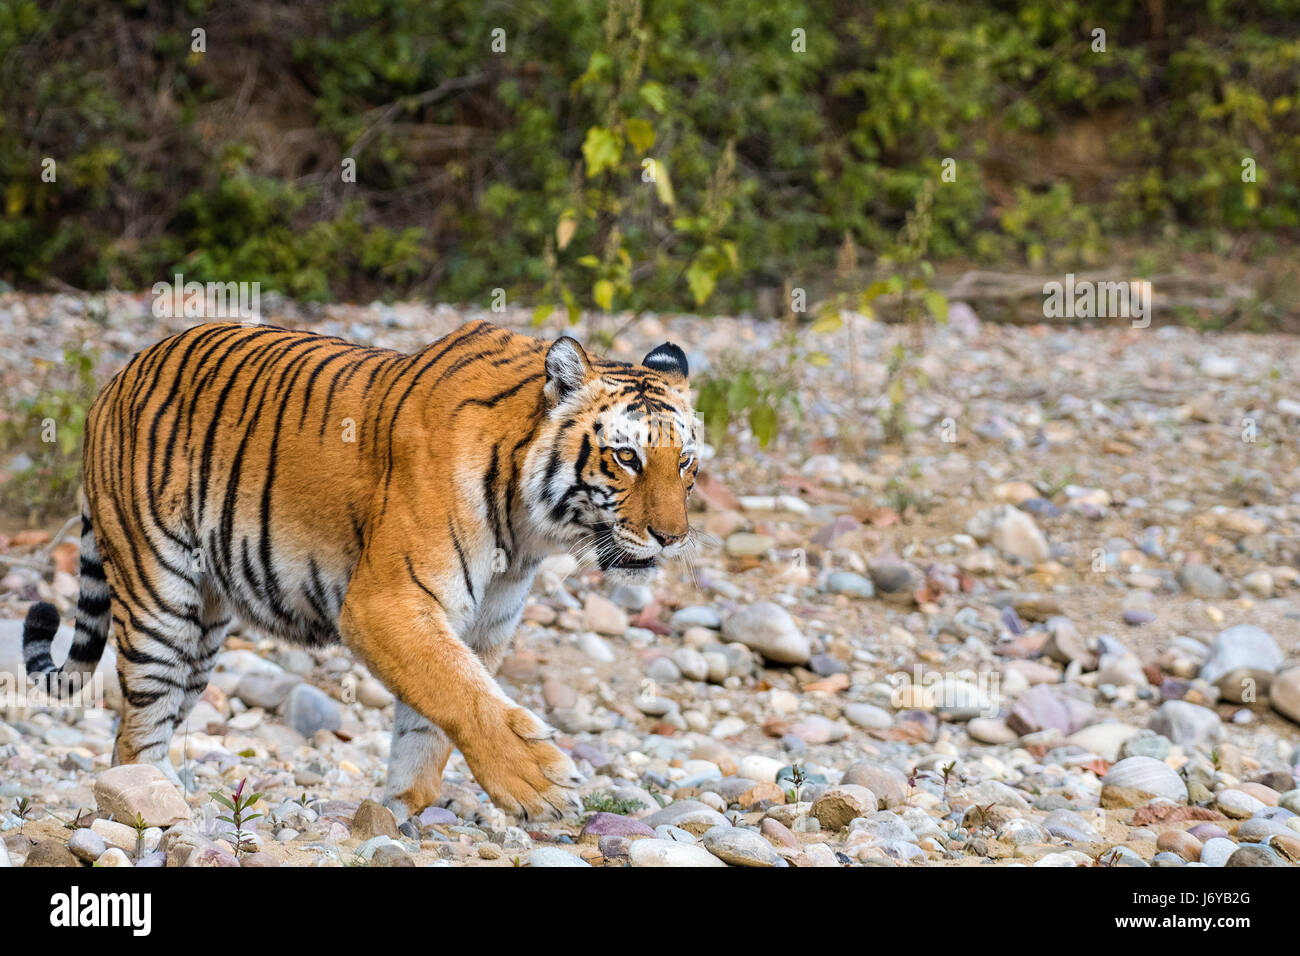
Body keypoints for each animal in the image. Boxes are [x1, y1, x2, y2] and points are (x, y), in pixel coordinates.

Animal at [20, 321, 702, 822]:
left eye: (686, 462)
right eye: (626, 457)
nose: (672, 538)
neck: (527, 528)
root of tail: (116, 377)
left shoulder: (481, 624)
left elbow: (432, 717)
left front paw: (402, 810)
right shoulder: (387, 601)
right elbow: (461, 694)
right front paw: (538, 782)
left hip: (206, 625)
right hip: (159, 596)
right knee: (133, 729)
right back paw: (160, 807)